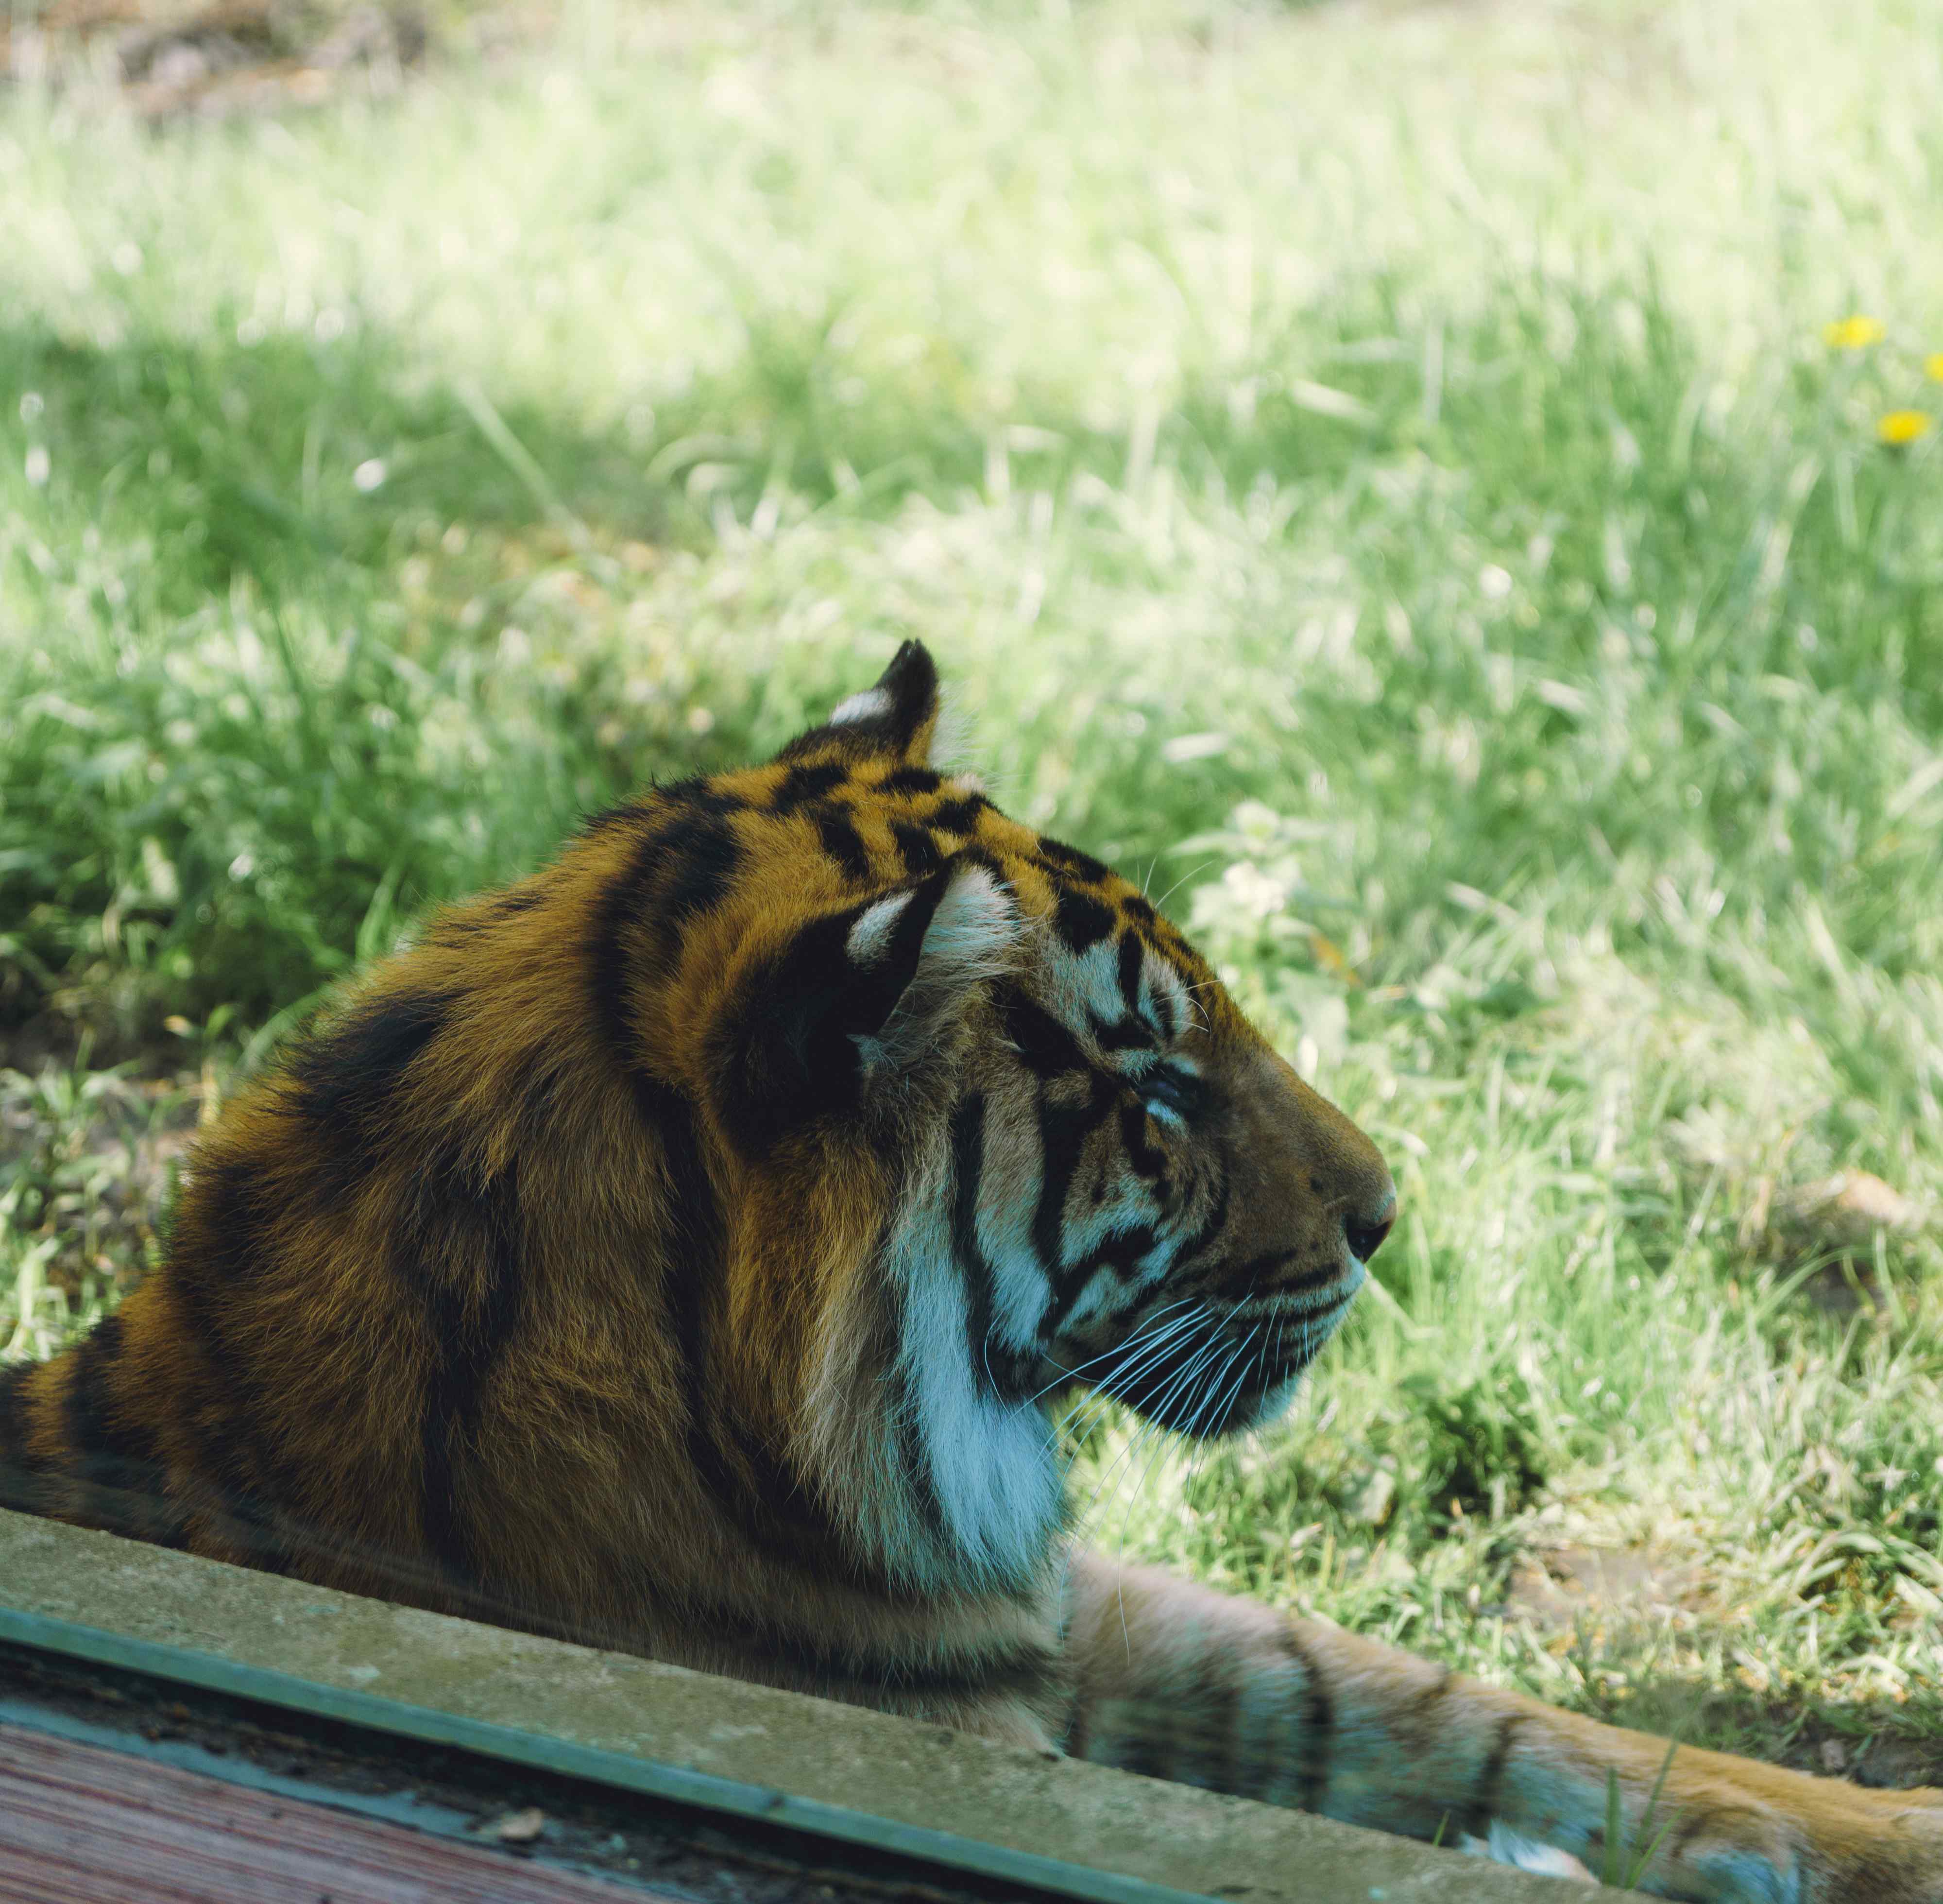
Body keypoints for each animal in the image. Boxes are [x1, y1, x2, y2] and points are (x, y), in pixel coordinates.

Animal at [0, 649, 1935, 1896]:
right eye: (1155, 1091)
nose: (1390, 1214)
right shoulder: (953, 1722)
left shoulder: (1062, 1622)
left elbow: (1423, 1698)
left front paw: (1859, 1835)